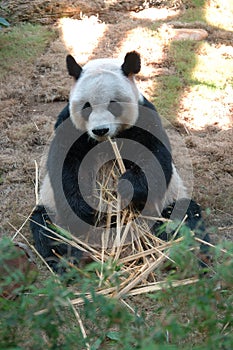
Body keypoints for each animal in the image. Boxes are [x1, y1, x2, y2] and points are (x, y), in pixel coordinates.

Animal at [29, 51, 209, 270]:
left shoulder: (145, 117)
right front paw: (86, 206)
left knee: (185, 218)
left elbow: (158, 161)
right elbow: (64, 164)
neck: (107, 141)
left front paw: (126, 186)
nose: (100, 130)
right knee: (47, 228)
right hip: (53, 210)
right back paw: (71, 261)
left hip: (169, 202)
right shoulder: (68, 125)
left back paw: (191, 257)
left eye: (113, 104)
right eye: (86, 107)